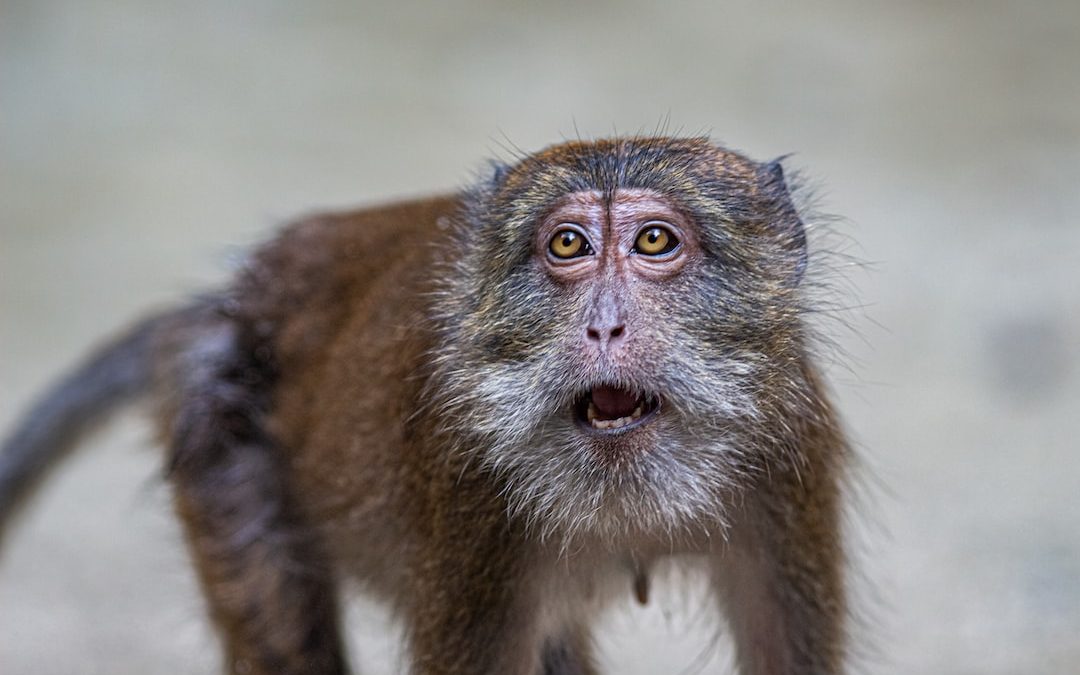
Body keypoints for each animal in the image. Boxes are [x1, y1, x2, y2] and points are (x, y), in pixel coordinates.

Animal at [2, 137, 851, 673]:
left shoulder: (789, 457)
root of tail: (228, 306)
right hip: (222, 439)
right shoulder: (471, 489)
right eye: (568, 245)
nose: (605, 323)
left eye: (653, 242)